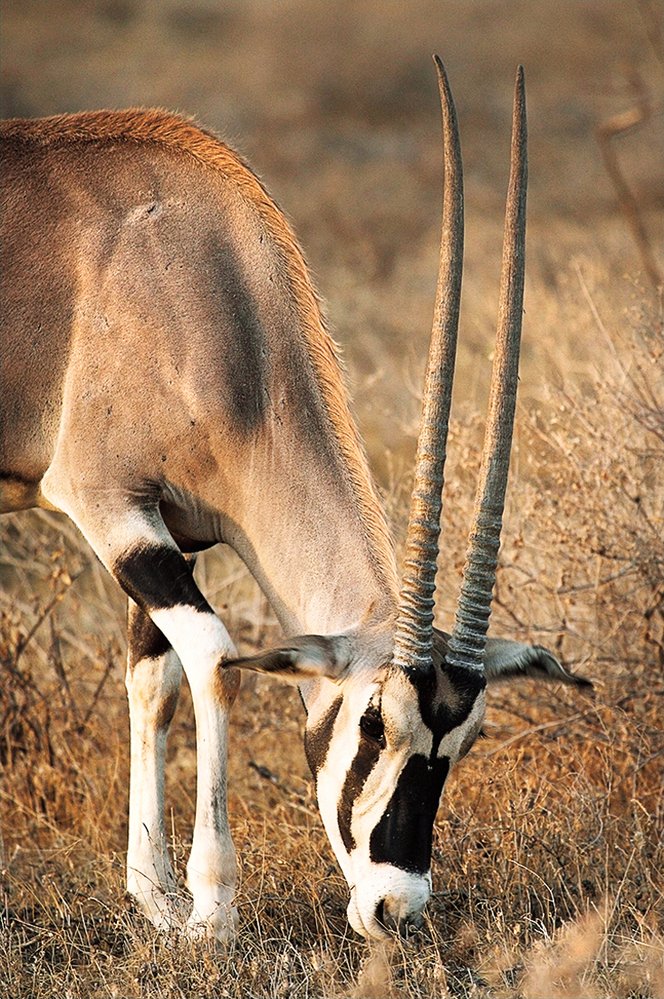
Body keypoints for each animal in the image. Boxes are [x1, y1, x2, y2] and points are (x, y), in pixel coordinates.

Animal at [1, 62, 592, 944]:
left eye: (470, 737)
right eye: (374, 722)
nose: (394, 907)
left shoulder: (170, 530)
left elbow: (154, 681)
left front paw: (154, 896)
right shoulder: (107, 504)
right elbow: (217, 662)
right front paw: (210, 906)